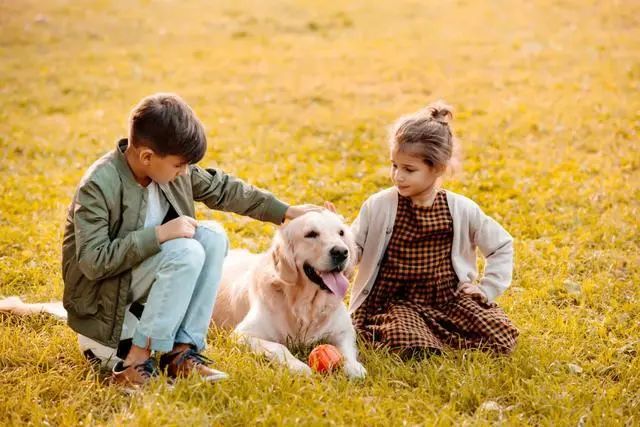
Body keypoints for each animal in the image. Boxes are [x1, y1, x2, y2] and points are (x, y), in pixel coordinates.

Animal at [212, 211, 368, 378]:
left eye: (341, 233)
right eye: (311, 234)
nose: (341, 252)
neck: (305, 305)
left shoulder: (345, 331)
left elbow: (346, 351)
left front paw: (354, 367)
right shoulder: (242, 335)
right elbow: (279, 347)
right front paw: (298, 366)